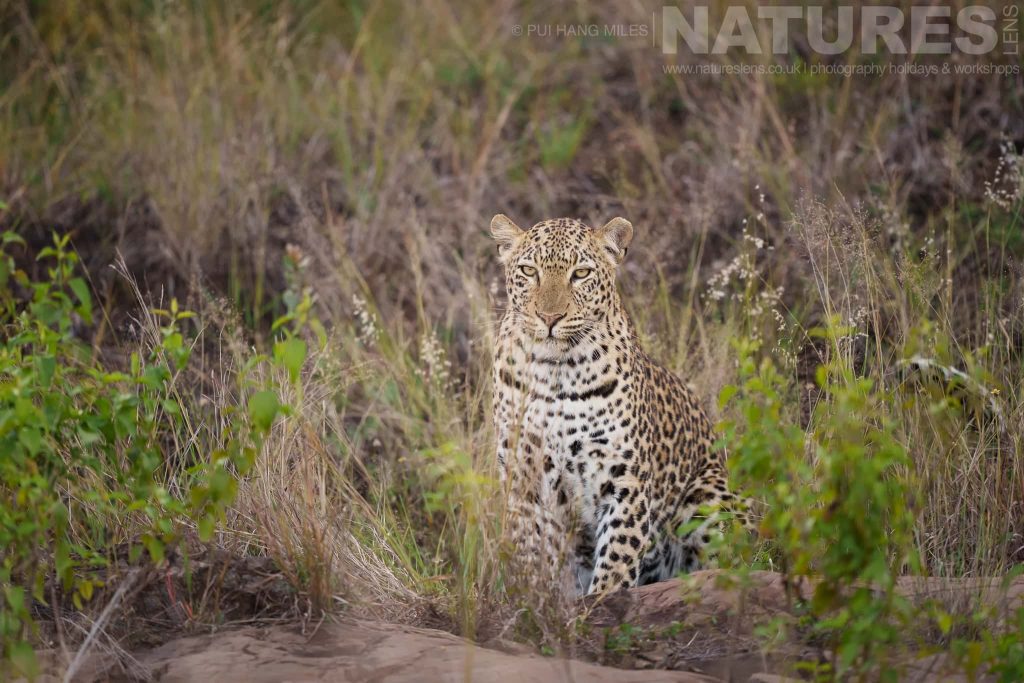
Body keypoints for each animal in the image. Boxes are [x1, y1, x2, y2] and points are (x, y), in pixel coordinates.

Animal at [490, 214, 747, 598]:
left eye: (581, 274)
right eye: (528, 270)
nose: (549, 317)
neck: (554, 372)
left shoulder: (624, 479)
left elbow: (617, 558)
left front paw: (601, 602)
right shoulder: (522, 476)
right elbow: (530, 554)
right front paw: (533, 601)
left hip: (709, 497)